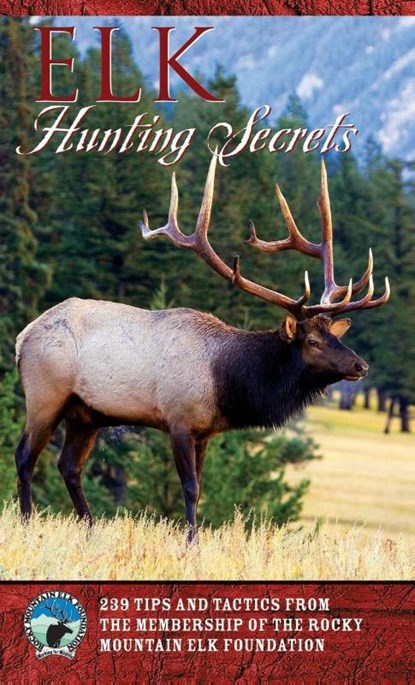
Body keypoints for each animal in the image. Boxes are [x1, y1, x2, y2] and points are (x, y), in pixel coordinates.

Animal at [15, 157, 389, 541]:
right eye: (312, 342)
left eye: (335, 337)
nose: (360, 366)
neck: (227, 381)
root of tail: (23, 336)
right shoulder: (179, 419)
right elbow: (191, 487)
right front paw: (190, 541)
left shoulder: (205, 430)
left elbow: (202, 485)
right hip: (46, 395)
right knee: (25, 457)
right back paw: (27, 523)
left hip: (85, 413)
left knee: (69, 466)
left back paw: (91, 529)